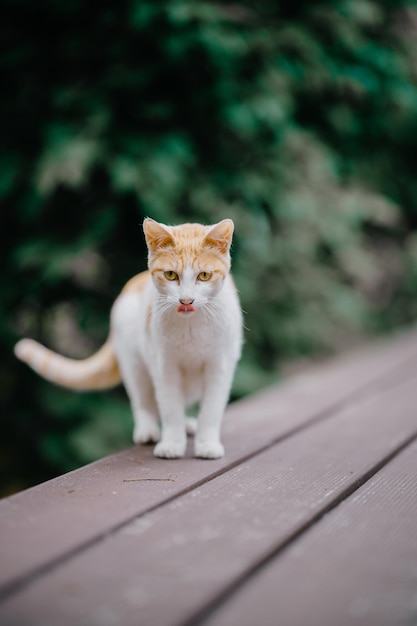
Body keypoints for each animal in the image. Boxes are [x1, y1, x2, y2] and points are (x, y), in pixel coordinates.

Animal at [14, 218, 244, 458]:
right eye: (171, 275)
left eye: (204, 276)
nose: (186, 301)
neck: (191, 326)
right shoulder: (164, 367)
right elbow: (170, 407)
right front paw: (172, 443)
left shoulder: (219, 367)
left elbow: (211, 410)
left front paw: (207, 443)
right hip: (135, 364)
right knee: (143, 401)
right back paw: (148, 431)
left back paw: (189, 425)